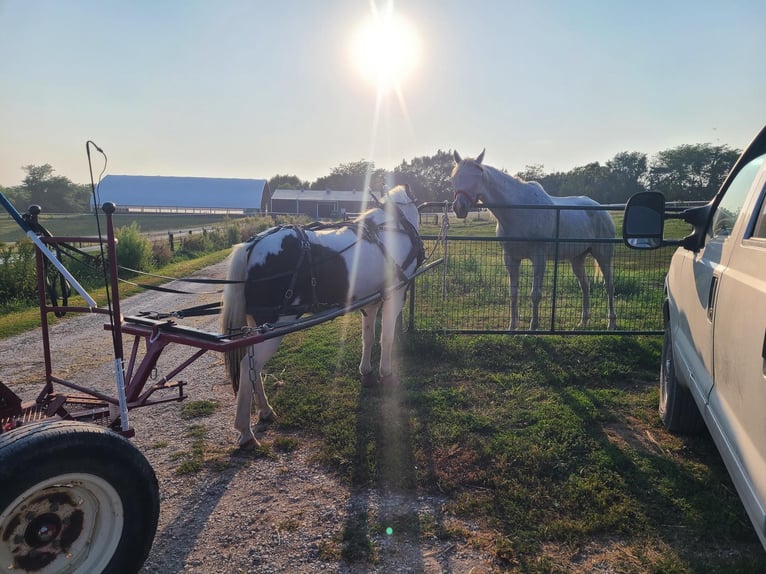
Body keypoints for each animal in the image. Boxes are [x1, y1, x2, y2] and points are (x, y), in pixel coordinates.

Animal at [222, 186, 424, 450]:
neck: (392, 227)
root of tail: (253, 245)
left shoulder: (370, 301)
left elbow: (368, 337)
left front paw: (366, 371)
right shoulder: (395, 295)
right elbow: (386, 338)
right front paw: (386, 374)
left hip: (257, 327)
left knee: (254, 367)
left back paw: (265, 410)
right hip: (273, 327)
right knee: (249, 366)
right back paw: (245, 431)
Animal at [450, 151, 616, 332]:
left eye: (477, 176)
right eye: (454, 178)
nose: (459, 208)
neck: (518, 212)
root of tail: (602, 210)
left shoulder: (539, 258)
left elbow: (535, 294)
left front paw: (533, 327)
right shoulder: (510, 258)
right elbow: (513, 293)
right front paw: (512, 327)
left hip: (603, 254)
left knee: (609, 285)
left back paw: (611, 323)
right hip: (577, 258)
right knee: (585, 285)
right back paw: (583, 322)